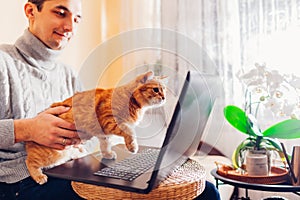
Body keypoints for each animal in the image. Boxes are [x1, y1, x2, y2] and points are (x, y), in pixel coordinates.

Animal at [25, 71, 166, 185]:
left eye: (164, 90)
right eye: (156, 90)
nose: (164, 97)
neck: (130, 99)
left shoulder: (104, 133)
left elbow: (105, 145)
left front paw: (108, 154)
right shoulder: (109, 121)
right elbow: (129, 131)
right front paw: (133, 146)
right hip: (53, 154)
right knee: (30, 162)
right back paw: (39, 176)